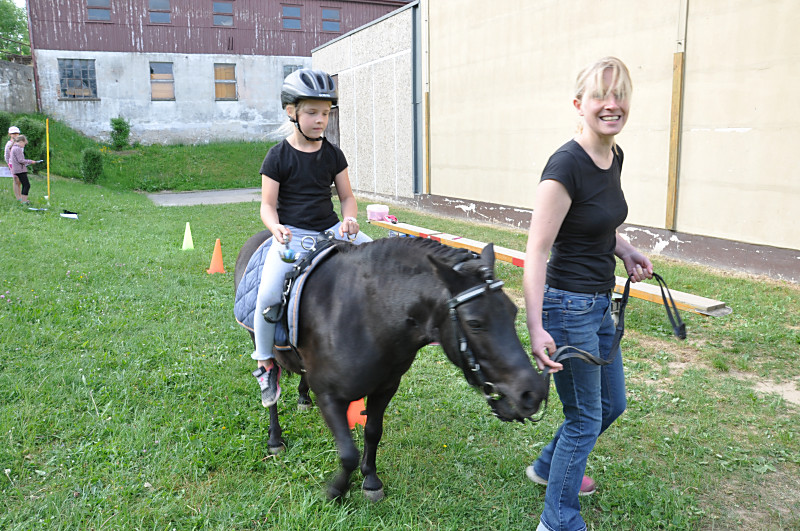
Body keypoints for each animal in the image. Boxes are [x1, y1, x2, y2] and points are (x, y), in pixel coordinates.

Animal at [234, 232, 549, 501]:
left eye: (513, 312)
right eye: (475, 323)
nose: (532, 393)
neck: (366, 316)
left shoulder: (386, 387)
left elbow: (373, 432)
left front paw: (371, 480)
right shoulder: (329, 396)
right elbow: (348, 452)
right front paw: (336, 491)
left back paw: (302, 397)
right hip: (259, 343)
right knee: (270, 386)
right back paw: (275, 438)